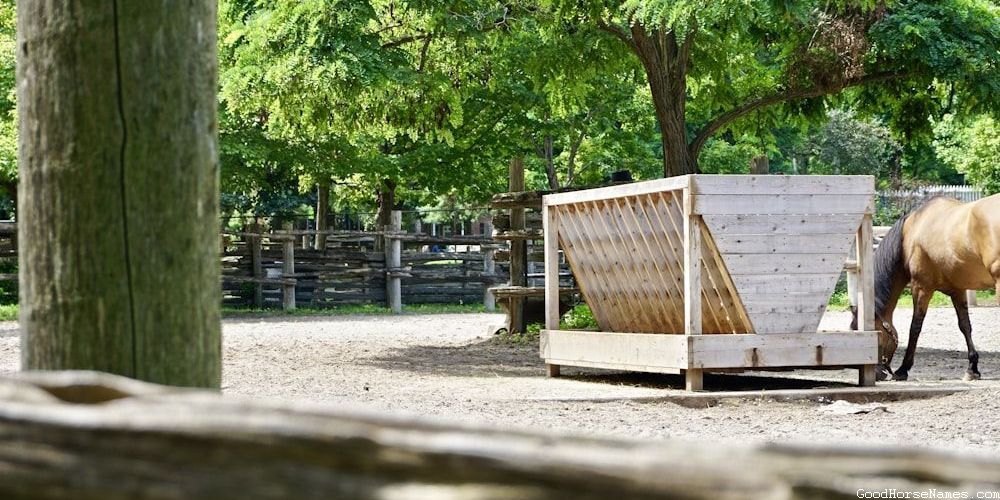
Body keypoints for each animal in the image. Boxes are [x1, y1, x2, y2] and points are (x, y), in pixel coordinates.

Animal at [852, 194, 1000, 381]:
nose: (878, 374)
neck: (911, 230)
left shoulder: (921, 287)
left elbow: (915, 327)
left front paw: (903, 369)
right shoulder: (957, 290)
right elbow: (965, 325)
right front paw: (972, 369)